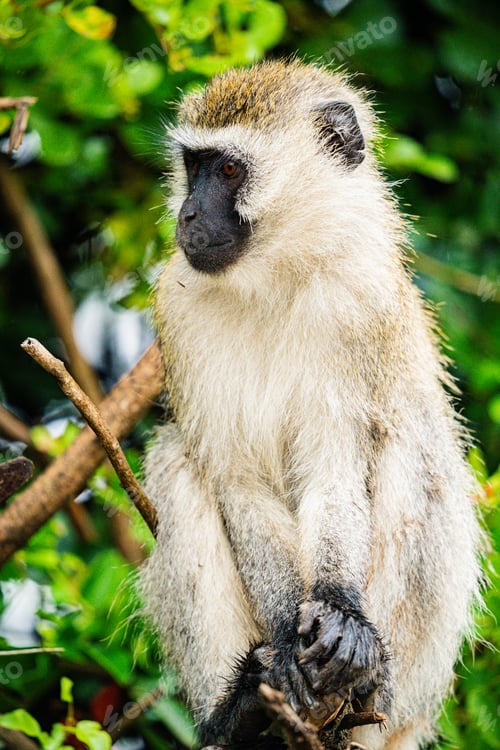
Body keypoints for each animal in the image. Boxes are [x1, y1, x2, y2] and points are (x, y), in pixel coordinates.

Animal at [140, 60, 481, 750]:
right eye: (193, 165)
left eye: (230, 171)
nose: (187, 214)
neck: (276, 276)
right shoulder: (177, 308)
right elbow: (236, 481)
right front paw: (282, 645)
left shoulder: (363, 299)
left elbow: (337, 468)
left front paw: (341, 615)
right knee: (176, 461)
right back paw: (242, 713)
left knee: (416, 441)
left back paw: (368, 685)